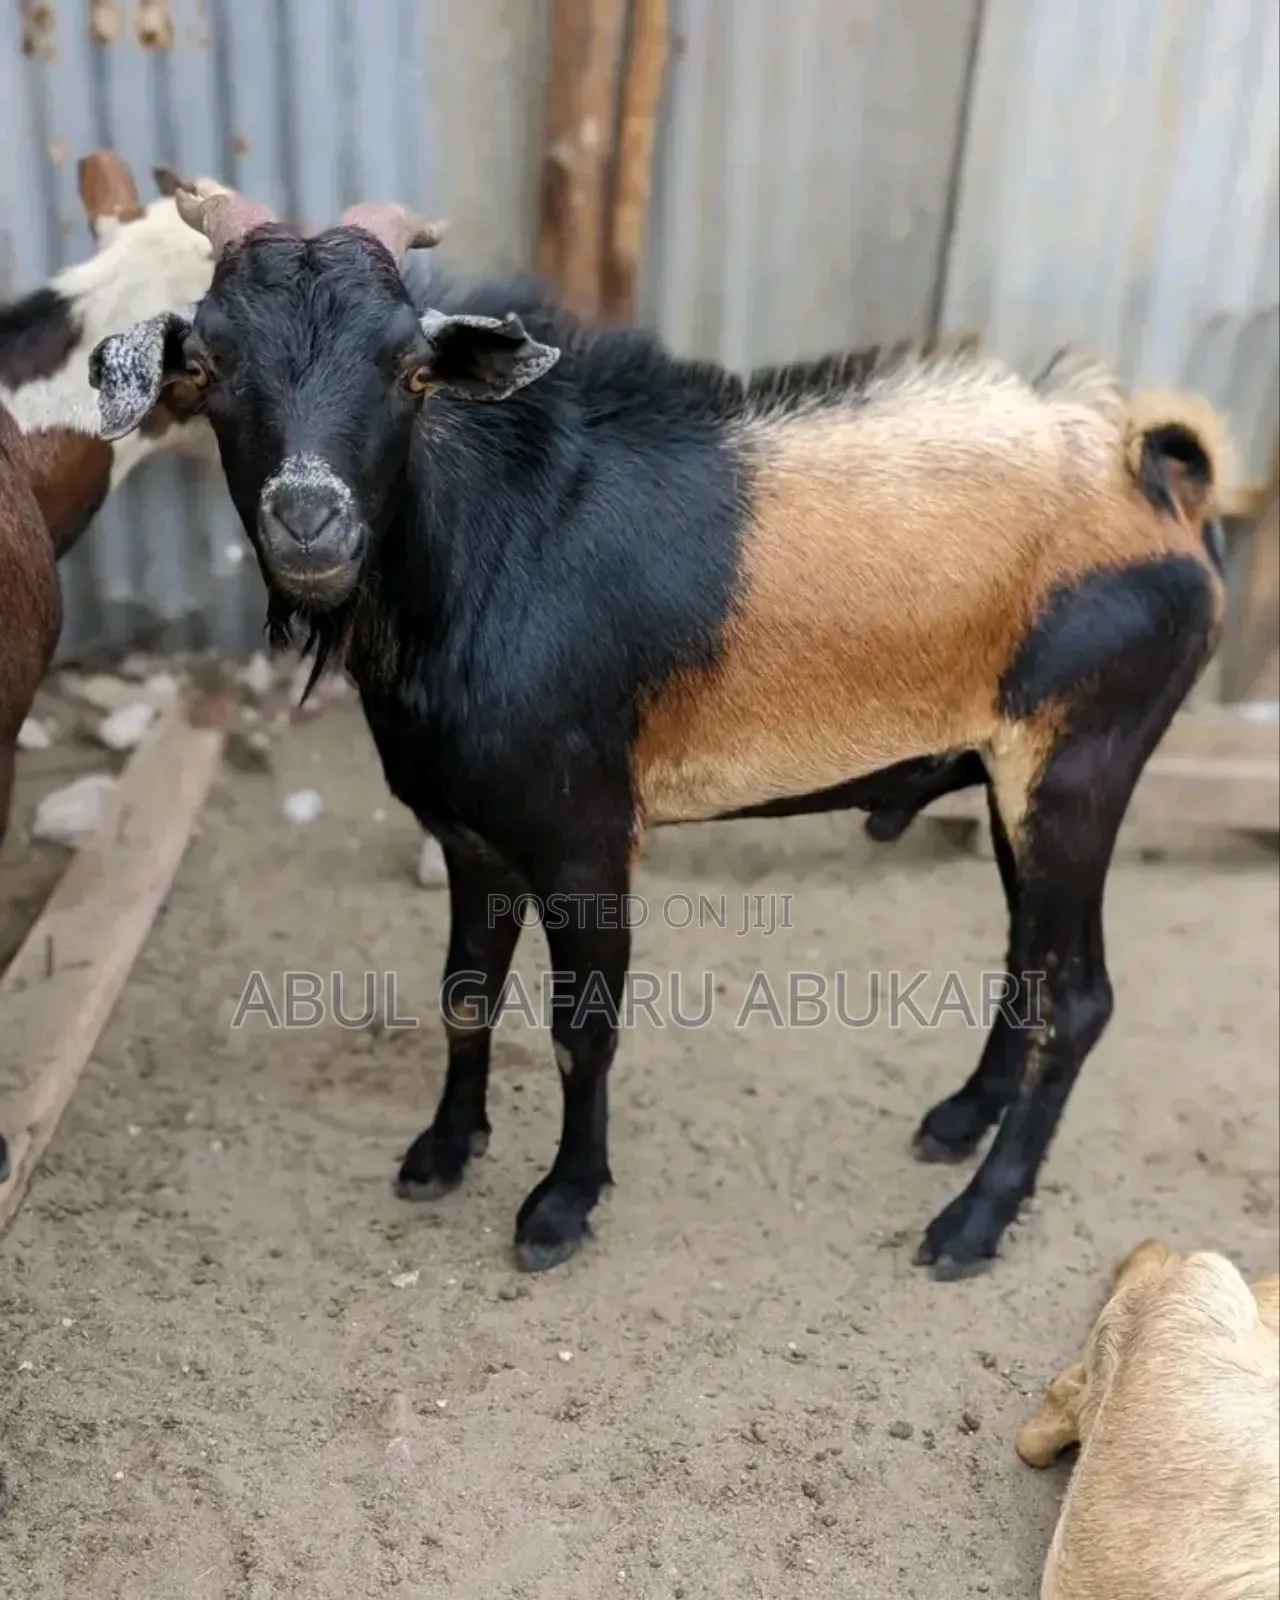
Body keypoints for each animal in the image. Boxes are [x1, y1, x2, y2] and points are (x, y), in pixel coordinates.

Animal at [87, 193, 1230, 1276]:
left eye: (410, 370)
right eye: (212, 365)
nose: (310, 523)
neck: (493, 543)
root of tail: (1153, 480)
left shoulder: (587, 836)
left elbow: (580, 1028)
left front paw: (562, 1203)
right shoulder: (470, 837)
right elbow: (465, 995)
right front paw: (444, 1150)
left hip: (1078, 768)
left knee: (1076, 999)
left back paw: (973, 1220)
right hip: (1007, 775)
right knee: (1025, 956)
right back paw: (955, 1121)